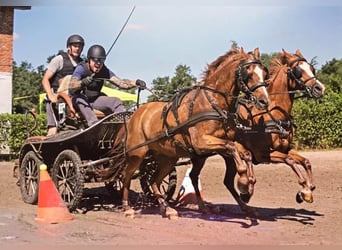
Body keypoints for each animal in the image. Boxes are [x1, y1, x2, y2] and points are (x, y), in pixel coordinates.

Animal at [111, 47, 272, 219]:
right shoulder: (201, 142)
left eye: (264, 73)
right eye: (248, 72)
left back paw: (167, 208)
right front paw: (243, 182)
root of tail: (134, 115)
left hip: (167, 158)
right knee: (126, 176)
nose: (264, 101)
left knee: (154, 181)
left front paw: (249, 187)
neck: (212, 102)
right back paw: (127, 207)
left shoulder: (221, 141)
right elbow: (231, 147)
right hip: (137, 154)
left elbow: (244, 152)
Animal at [190, 48, 326, 213]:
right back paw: (204, 206)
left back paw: (245, 204)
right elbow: (290, 160)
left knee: (226, 181)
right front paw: (304, 190)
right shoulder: (263, 154)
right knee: (194, 176)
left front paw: (307, 190)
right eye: (298, 70)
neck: (272, 113)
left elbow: (305, 161)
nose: (319, 88)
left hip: (226, 156)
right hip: (200, 153)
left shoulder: (285, 149)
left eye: (312, 69)